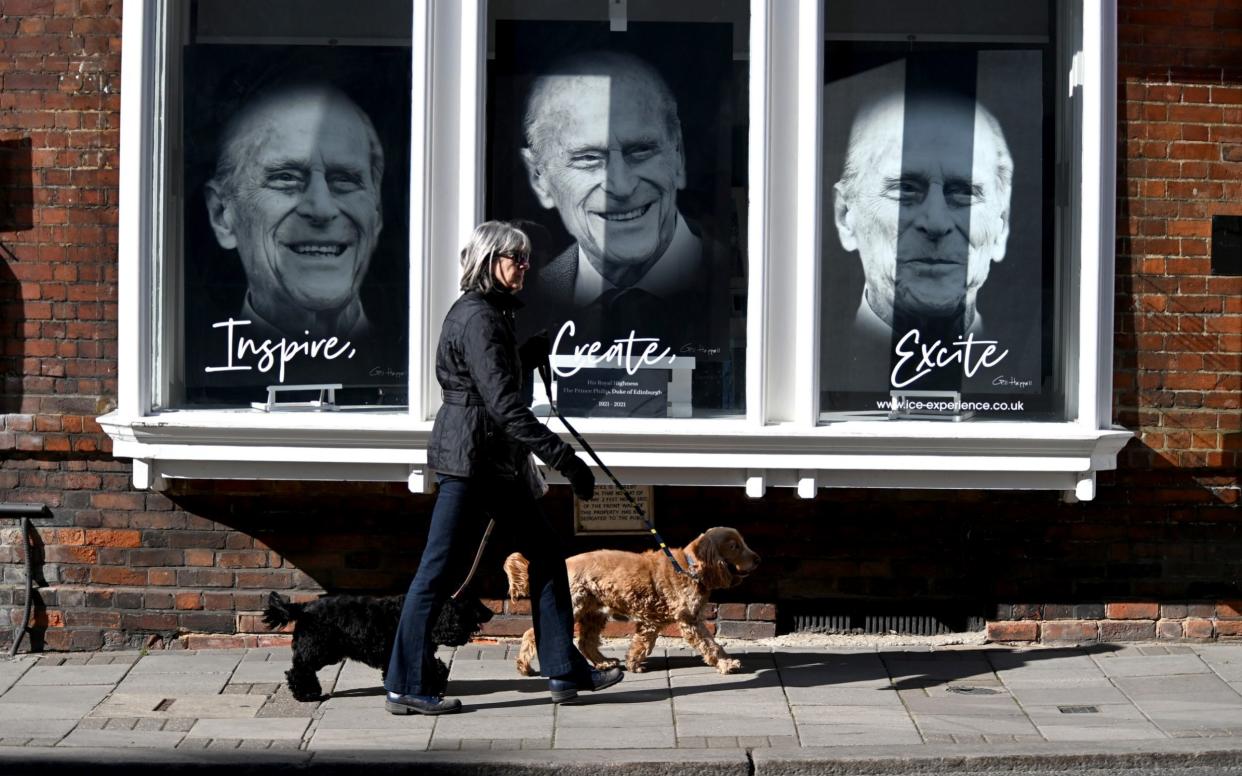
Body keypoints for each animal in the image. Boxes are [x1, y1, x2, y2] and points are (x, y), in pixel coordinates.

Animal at [263, 593, 494, 700]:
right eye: (474, 603)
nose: (491, 612)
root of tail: (303, 607)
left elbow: (435, 668)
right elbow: (429, 670)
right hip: (319, 649)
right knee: (299, 669)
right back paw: (307, 694)